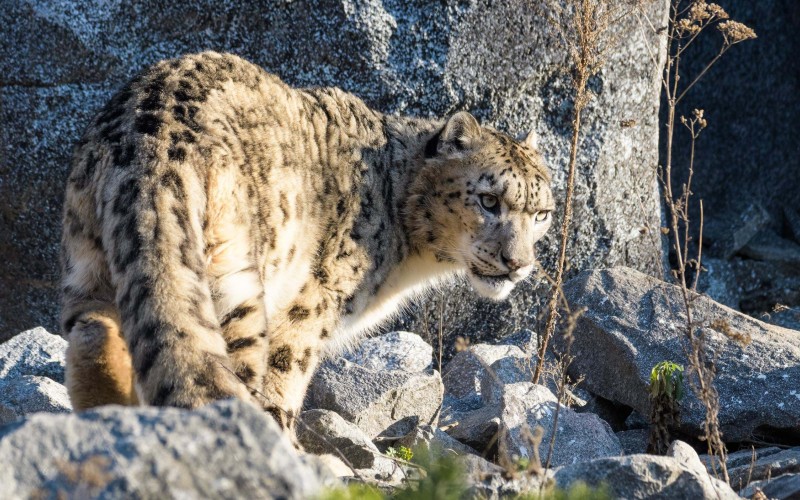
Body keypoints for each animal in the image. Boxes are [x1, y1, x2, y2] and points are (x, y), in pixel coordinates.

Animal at [60, 51, 554, 436]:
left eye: (542, 213)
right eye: (488, 200)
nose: (518, 263)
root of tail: (153, 142)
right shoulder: (314, 301)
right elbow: (286, 373)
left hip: (90, 258)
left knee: (94, 331)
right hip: (236, 276)